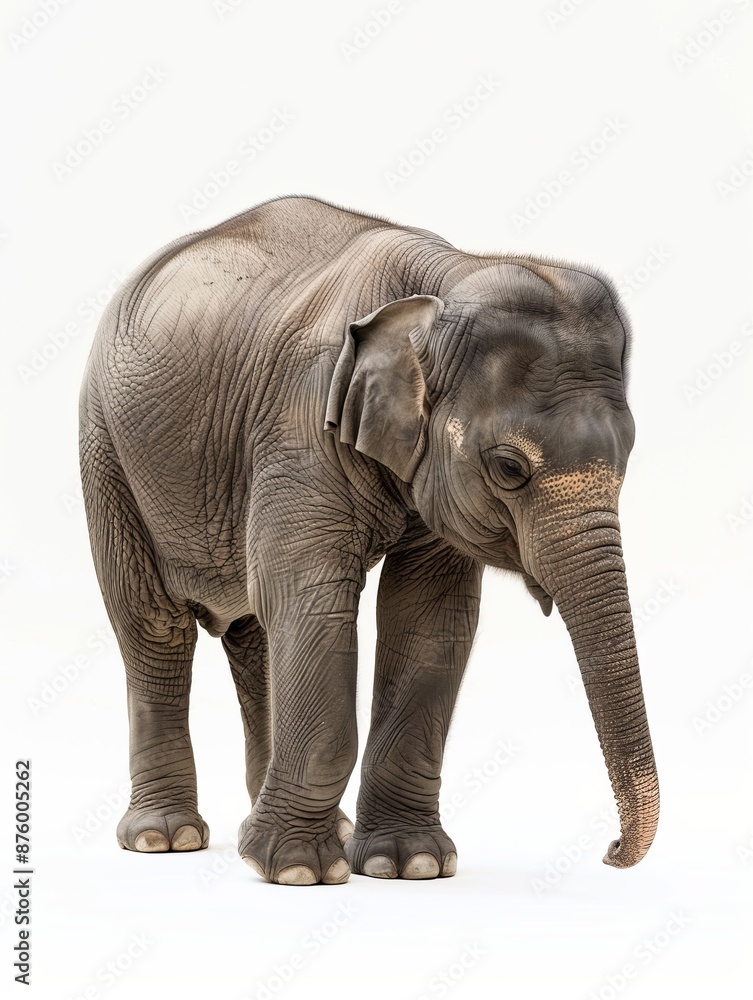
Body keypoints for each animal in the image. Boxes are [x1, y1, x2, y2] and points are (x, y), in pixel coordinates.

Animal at [79, 194, 659, 885]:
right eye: (509, 467)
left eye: (630, 455)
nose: (611, 851)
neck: (446, 278)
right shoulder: (301, 423)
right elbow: (313, 600)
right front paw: (298, 871)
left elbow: (428, 620)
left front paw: (408, 864)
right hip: (106, 450)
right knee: (154, 627)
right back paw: (165, 839)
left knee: (254, 631)